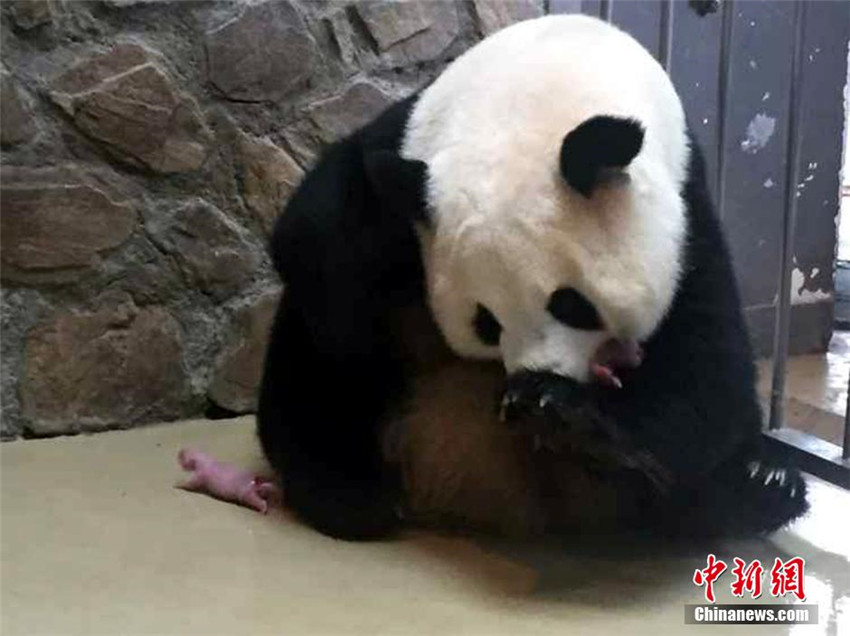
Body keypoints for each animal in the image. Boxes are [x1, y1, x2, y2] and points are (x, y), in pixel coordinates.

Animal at [258, 15, 808, 541]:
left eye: (571, 305)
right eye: (485, 323)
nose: (532, 374)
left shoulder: (687, 210)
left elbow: (706, 380)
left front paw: (554, 406)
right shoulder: (397, 151)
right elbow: (313, 236)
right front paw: (356, 336)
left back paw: (761, 486)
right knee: (306, 388)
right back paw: (351, 496)